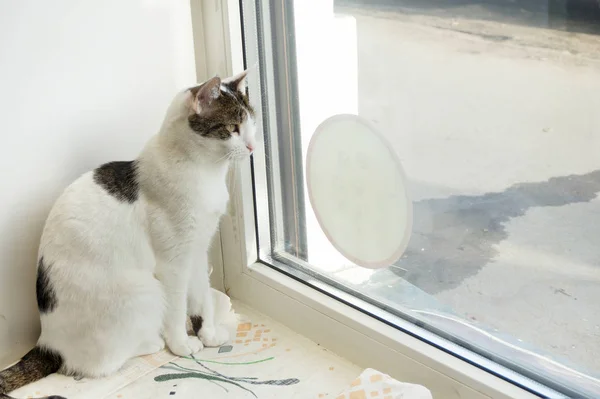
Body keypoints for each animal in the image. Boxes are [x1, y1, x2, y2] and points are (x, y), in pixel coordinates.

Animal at [0, 69, 255, 399]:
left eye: (251, 123)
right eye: (232, 128)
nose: (252, 146)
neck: (205, 172)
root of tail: (47, 342)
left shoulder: (197, 250)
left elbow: (202, 299)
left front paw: (208, 333)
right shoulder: (174, 263)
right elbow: (178, 307)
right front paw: (182, 344)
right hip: (145, 291)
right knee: (102, 364)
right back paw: (155, 341)